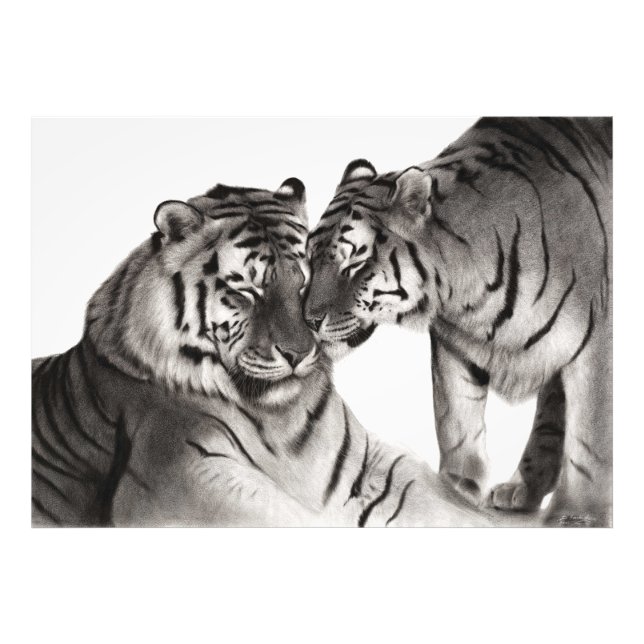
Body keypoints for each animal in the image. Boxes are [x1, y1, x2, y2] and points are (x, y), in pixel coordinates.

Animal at [32, 177, 507, 527]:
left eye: (306, 280)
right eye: (247, 289)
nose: (298, 353)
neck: (283, 421)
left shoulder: (365, 465)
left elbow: (433, 493)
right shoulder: (177, 478)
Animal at [304, 117, 612, 527]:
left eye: (354, 263)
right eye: (310, 259)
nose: (308, 319)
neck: (468, 298)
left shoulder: (598, 344)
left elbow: (591, 437)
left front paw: (580, 517)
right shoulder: (455, 345)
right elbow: (456, 421)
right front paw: (453, 492)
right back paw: (521, 489)